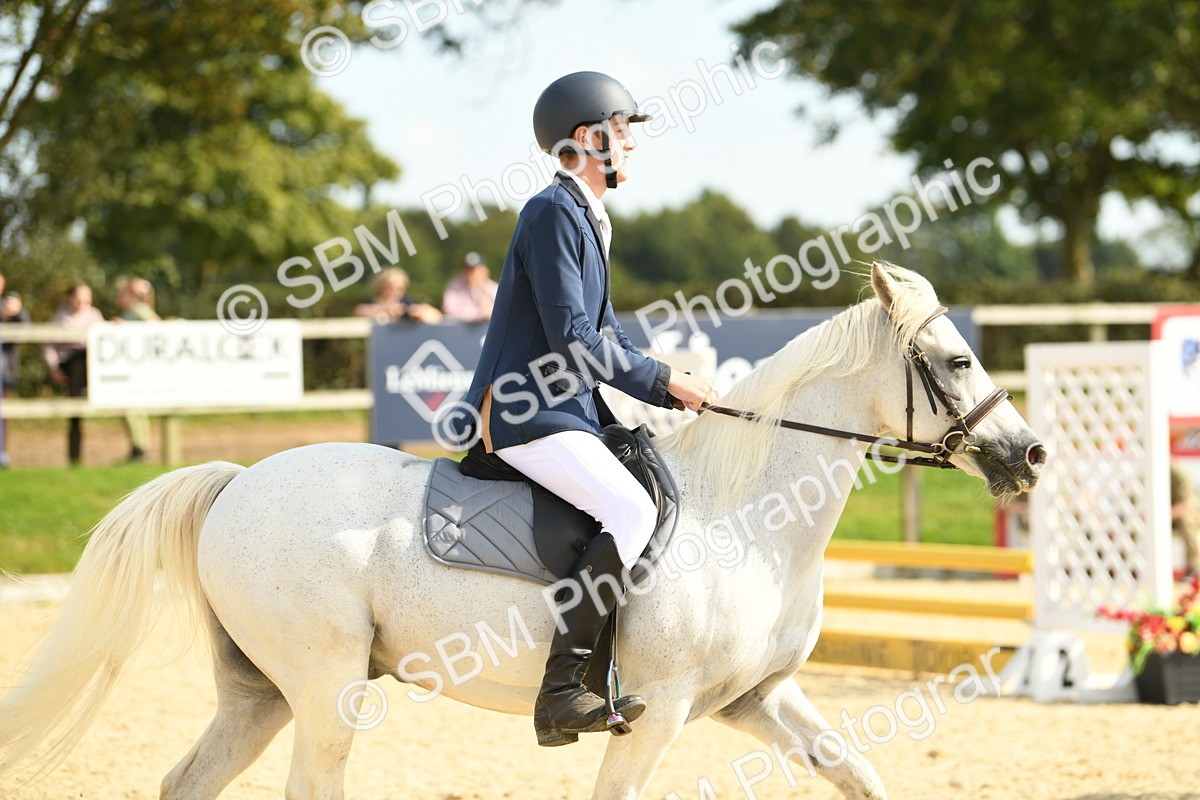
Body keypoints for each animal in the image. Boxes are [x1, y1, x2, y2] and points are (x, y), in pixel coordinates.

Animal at [0, 263, 1044, 799]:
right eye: (957, 359)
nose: (1029, 454)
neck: (748, 516)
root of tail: (235, 485)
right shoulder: (659, 711)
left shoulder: (760, 698)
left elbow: (860, 774)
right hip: (325, 688)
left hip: (258, 696)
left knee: (188, 782)